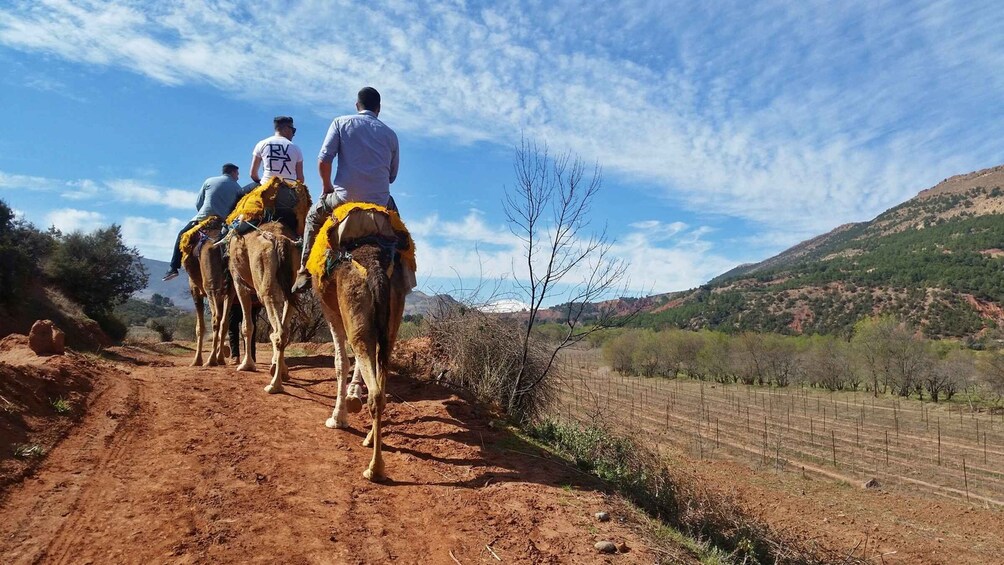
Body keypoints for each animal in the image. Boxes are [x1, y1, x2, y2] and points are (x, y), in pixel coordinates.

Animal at [180, 218, 232, 369]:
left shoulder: (194, 290)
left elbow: (200, 327)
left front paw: (196, 361)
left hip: (211, 285)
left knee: (216, 317)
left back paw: (211, 360)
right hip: (230, 288)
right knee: (224, 321)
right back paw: (219, 358)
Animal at [229, 220, 299, 393]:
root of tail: (280, 240)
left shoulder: (239, 283)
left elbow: (247, 327)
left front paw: (246, 365)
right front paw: (281, 369)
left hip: (266, 290)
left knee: (278, 333)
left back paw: (274, 385)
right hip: (292, 289)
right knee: (284, 331)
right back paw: (279, 375)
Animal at [311, 207, 409, 481]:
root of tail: (375, 269)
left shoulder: (331, 312)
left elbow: (340, 362)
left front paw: (337, 419)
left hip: (354, 311)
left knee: (374, 391)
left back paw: (375, 469)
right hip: (391, 323)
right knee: (382, 384)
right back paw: (369, 441)